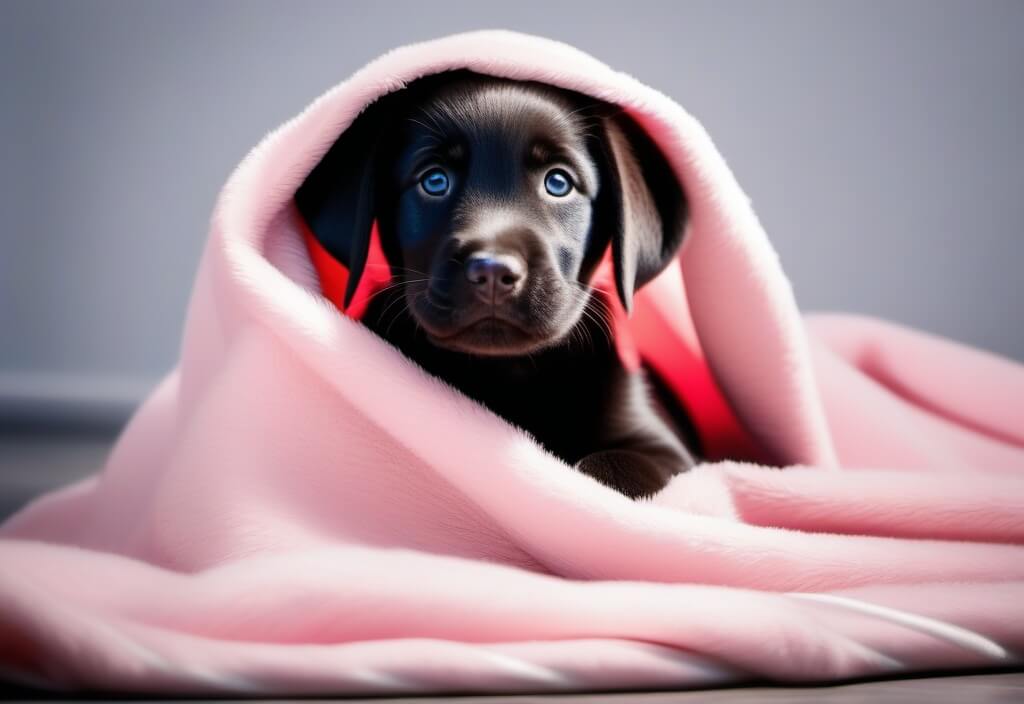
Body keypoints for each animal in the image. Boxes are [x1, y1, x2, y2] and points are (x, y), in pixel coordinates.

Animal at [292, 70, 700, 495]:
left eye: (558, 183)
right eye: (434, 181)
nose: (491, 272)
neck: (507, 373)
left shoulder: (665, 448)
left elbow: (612, 470)